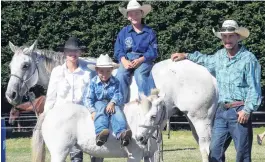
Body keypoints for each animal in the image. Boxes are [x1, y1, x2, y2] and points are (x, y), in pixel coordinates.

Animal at [32, 90, 166, 161]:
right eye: (139, 113)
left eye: (153, 116)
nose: (139, 138)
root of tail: (49, 113)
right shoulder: (135, 156)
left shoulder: (150, 156)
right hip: (59, 152)